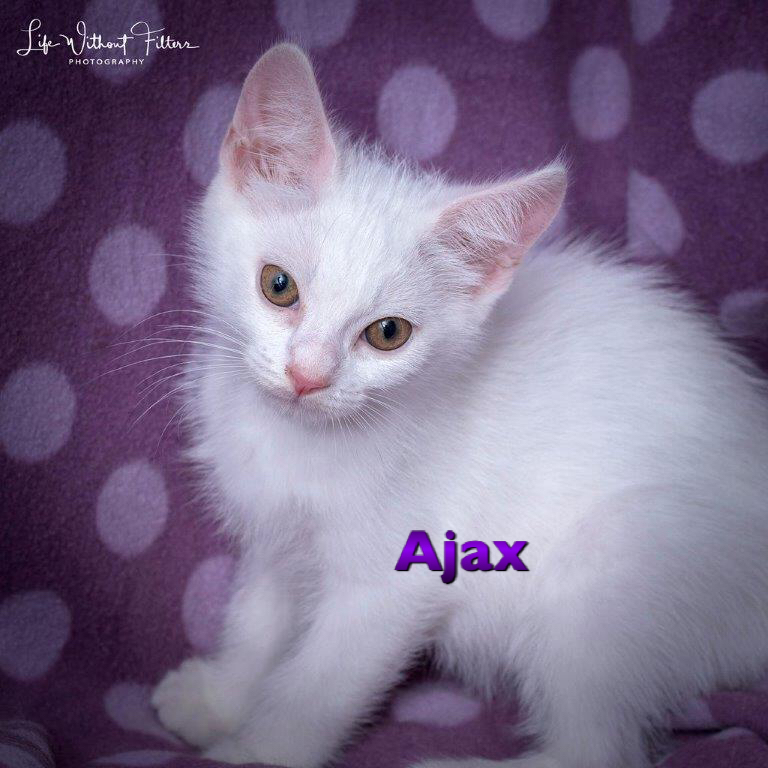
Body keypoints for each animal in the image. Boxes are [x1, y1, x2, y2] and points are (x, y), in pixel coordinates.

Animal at [151, 43, 768, 768]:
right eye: (278, 286)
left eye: (388, 334)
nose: (307, 375)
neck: (295, 439)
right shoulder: (273, 534)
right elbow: (259, 618)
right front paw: (220, 698)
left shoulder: (394, 579)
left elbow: (319, 686)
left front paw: (260, 750)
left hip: (615, 558)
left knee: (596, 749)